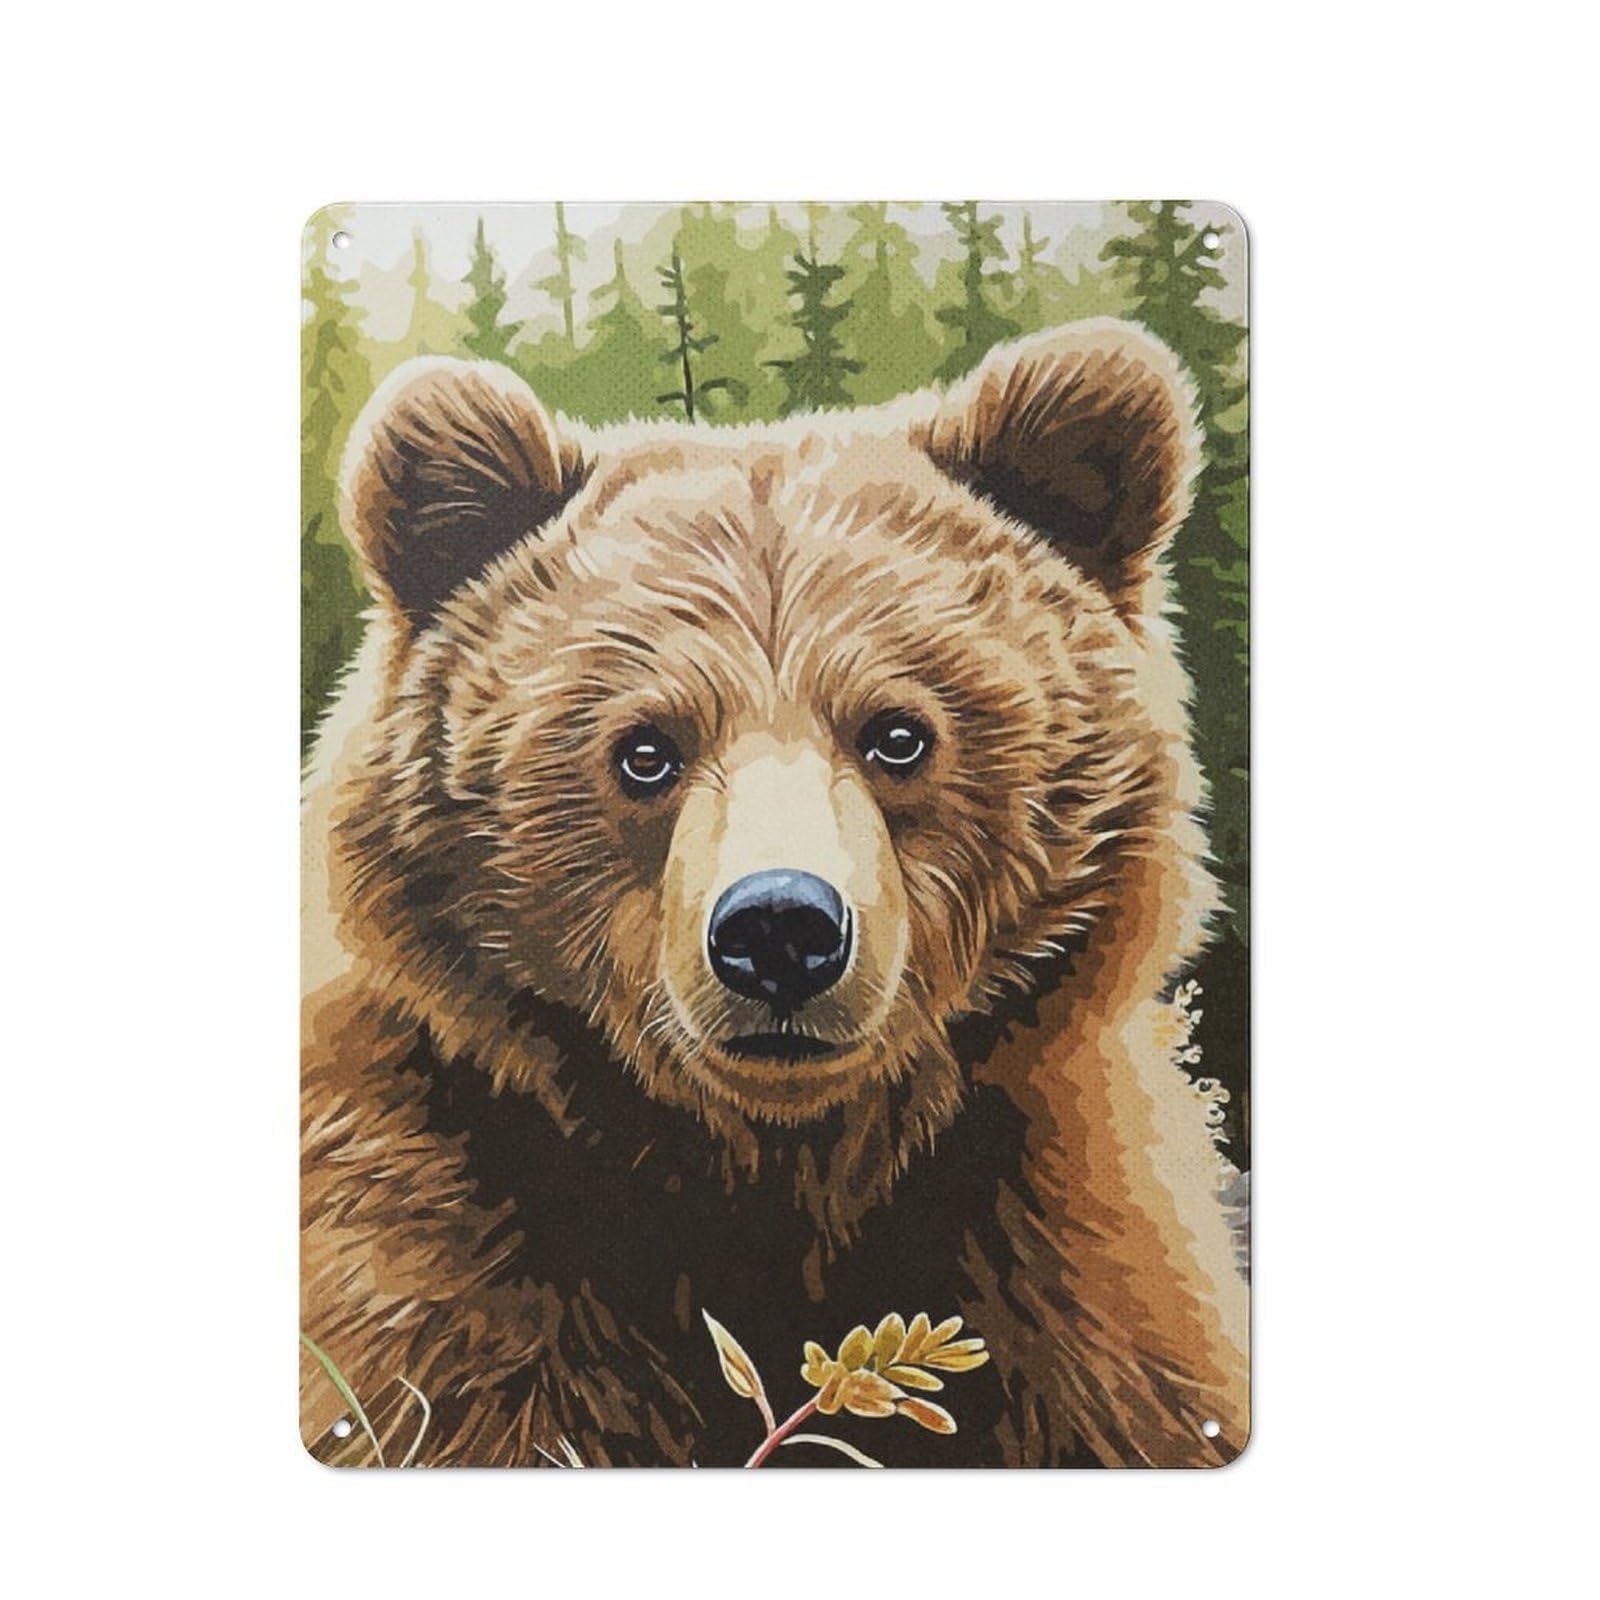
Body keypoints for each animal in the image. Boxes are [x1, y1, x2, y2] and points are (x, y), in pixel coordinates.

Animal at [301, 318, 1249, 1468]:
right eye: (645, 750)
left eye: (898, 733)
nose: (780, 930)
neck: (774, 1177)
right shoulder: (441, 1253)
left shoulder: (1071, 1263)